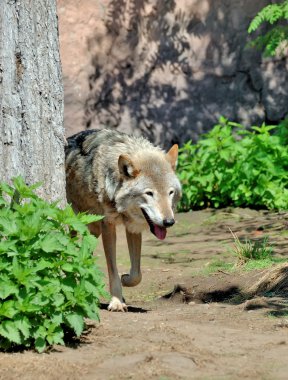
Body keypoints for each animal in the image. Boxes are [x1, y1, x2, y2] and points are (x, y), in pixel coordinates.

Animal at [66, 130, 181, 312]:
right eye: (149, 193)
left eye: (170, 192)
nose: (169, 222)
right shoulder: (108, 226)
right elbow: (112, 269)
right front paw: (116, 301)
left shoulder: (133, 228)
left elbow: (137, 274)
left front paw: (125, 279)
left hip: (93, 231)